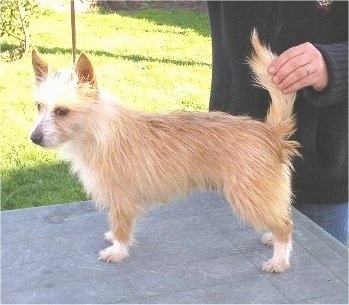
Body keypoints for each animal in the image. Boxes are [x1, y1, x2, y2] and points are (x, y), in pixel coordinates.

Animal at [29, 30, 298, 274]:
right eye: (39, 106)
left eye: (62, 111)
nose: (34, 138)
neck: (98, 129)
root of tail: (269, 132)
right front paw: (115, 239)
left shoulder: (121, 198)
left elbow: (122, 224)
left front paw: (118, 250)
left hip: (250, 195)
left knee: (285, 225)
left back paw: (279, 260)